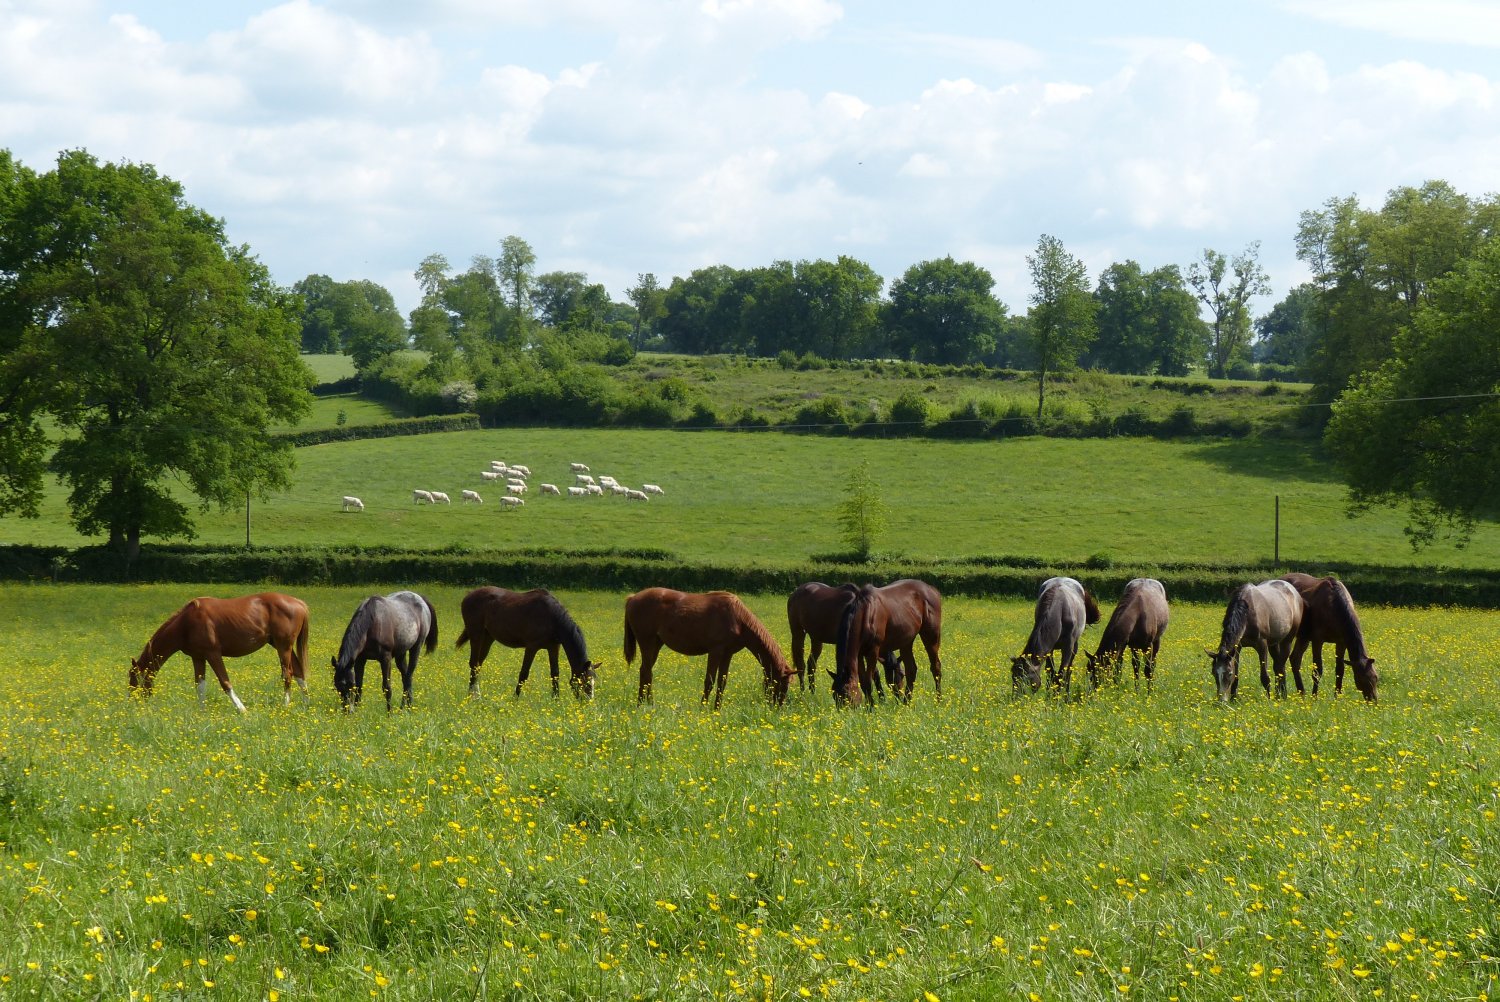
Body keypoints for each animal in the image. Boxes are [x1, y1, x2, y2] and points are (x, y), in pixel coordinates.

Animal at [130, 593, 310, 713]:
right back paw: (305, 703)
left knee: (288, 674)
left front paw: (242, 709)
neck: (186, 623)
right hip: (282, 646)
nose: (133, 703)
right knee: (299, 672)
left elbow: (225, 683)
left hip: (283, 647)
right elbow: (200, 685)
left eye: (134, 678)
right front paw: (202, 712)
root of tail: (299, 603)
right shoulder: (198, 657)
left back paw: (285, 705)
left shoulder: (213, 654)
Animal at [455, 587, 601, 700]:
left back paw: (477, 694)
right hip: (476, 634)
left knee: (478, 665)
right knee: (474, 664)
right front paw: (515, 698)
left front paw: (556, 699)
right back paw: (472, 696)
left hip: (488, 638)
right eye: (586, 682)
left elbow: (555, 674)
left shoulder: (554, 647)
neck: (553, 619)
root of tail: (468, 595)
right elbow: (524, 674)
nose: (588, 702)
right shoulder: (531, 647)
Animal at [623, 588, 795, 709]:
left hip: (656, 644)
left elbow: (722, 682)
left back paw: (645, 703)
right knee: (646, 672)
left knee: (646, 672)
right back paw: (644, 704)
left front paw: (716, 709)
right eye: (782, 684)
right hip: (647, 642)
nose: (777, 707)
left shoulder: (727, 654)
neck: (737, 618)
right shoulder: (715, 652)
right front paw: (703, 707)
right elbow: (710, 681)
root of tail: (633, 598)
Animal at [1282, 573, 1378, 702]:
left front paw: (1337, 696)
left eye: (1376, 677)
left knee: (1295, 658)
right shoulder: (1317, 640)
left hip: (1303, 637)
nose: (1373, 700)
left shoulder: (1341, 642)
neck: (1334, 608)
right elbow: (1317, 671)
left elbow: (1340, 669)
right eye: (1361, 679)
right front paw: (1314, 696)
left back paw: (1301, 692)